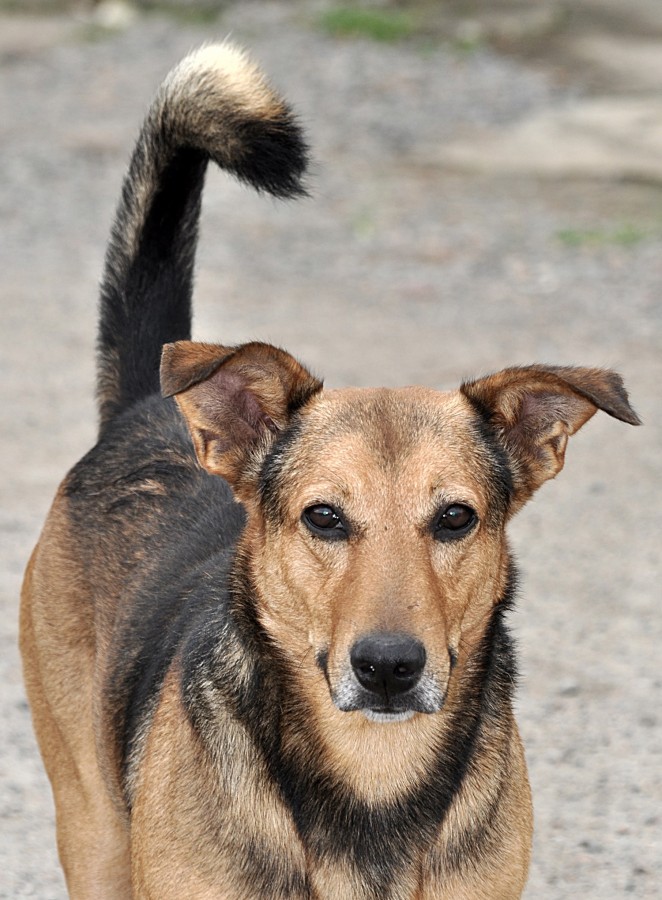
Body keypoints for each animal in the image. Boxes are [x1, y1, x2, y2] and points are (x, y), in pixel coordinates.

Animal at [19, 45, 644, 896]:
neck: (373, 778)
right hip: (90, 824)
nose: (389, 668)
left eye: (456, 518)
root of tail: (147, 405)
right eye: (324, 517)